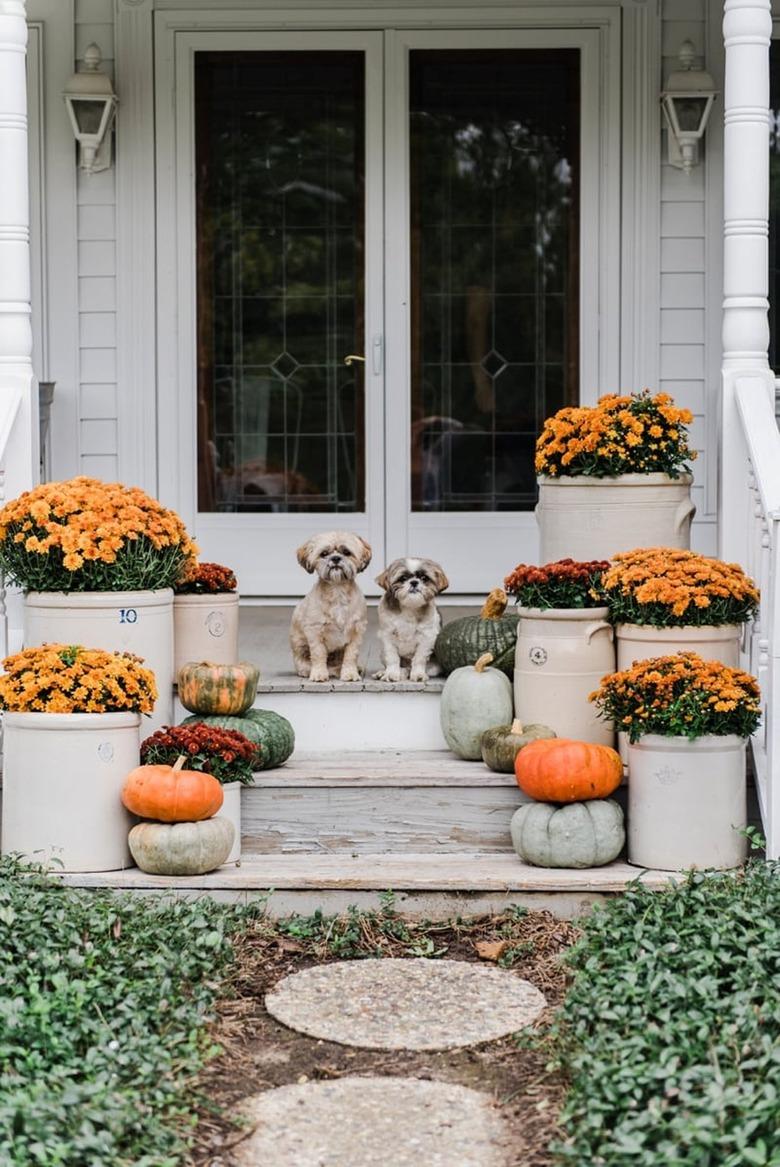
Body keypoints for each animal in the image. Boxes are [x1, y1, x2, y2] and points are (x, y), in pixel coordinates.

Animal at [290, 532, 373, 681]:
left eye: (346, 552)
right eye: (324, 553)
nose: (335, 558)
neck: (337, 591)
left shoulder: (356, 631)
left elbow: (351, 655)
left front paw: (350, 673)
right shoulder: (314, 631)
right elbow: (318, 653)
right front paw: (318, 673)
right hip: (299, 644)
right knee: (302, 660)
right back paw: (306, 670)